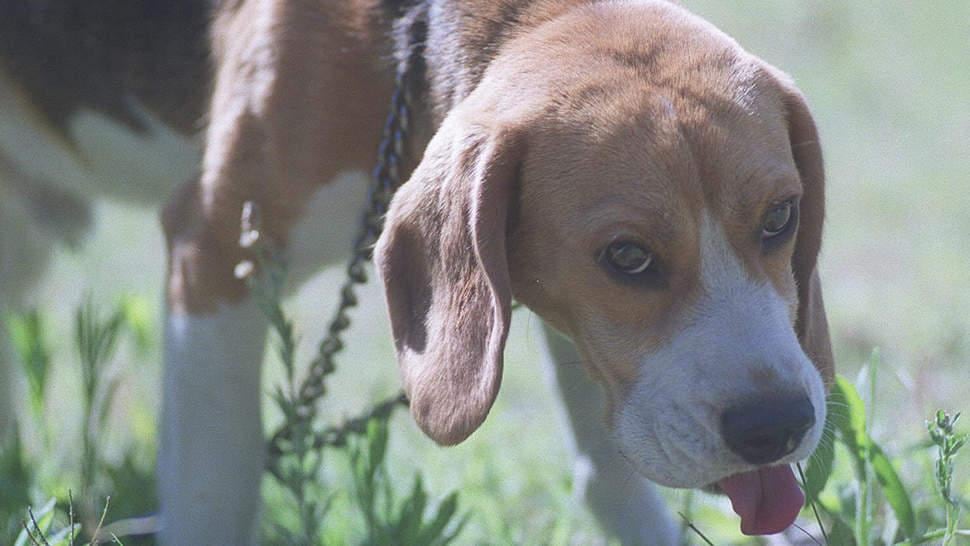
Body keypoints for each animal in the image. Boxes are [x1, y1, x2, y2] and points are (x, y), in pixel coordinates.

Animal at [0, 0, 832, 540]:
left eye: (780, 218)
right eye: (627, 256)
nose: (778, 427)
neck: (403, 41)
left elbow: (611, 479)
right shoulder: (213, 263)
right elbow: (215, 494)